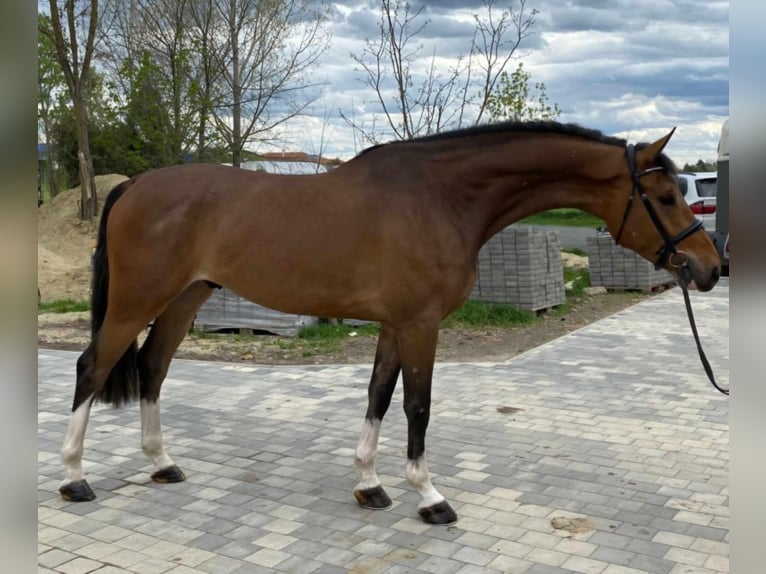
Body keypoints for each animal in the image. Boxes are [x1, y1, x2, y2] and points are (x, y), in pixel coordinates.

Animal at [57, 120, 720, 525]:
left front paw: (369, 485)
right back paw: (75, 478)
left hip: (185, 299)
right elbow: (417, 406)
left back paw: (161, 464)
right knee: (92, 367)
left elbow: (378, 394)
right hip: (138, 300)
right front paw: (429, 497)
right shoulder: (420, 323)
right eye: (665, 198)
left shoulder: (393, 325)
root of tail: (134, 186)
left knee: (153, 367)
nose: (710, 267)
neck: (439, 197)